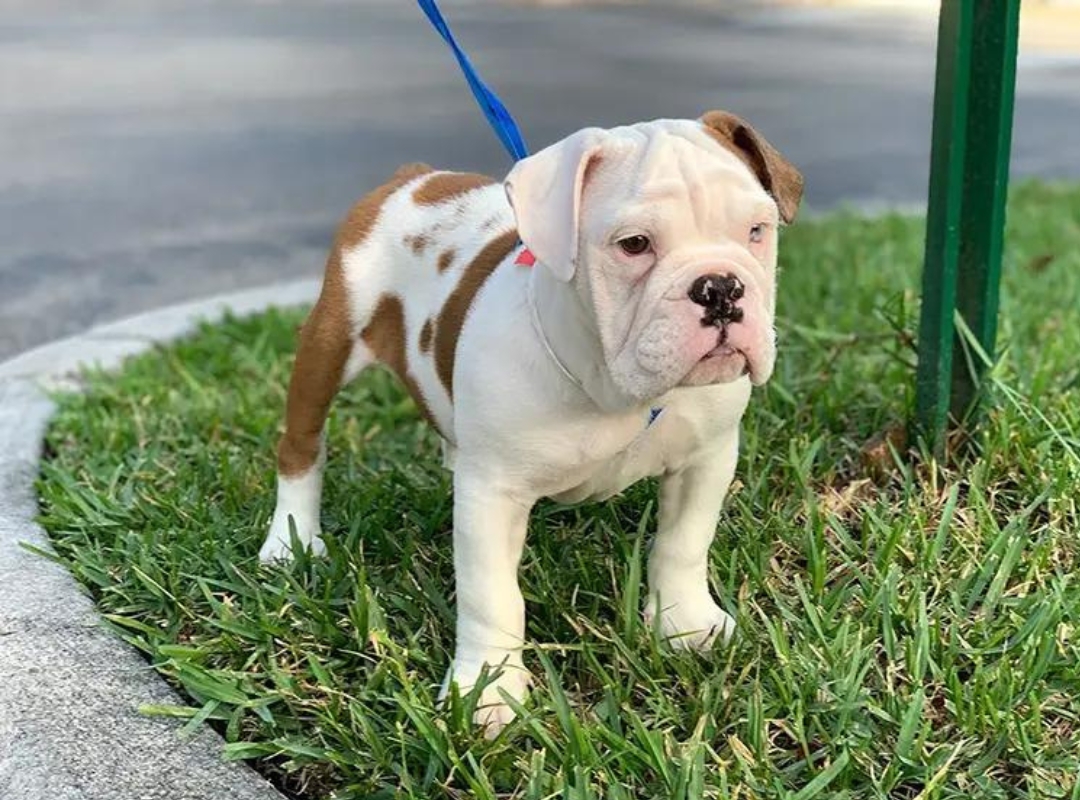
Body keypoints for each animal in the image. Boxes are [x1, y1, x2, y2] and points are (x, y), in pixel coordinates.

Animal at [259, 110, 803, 729]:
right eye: (634, 245)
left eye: (757, 230)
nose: (720, 287)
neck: (611, 385)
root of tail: (414, 178)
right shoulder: (493, 494)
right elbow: (492, 595)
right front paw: (488, 690)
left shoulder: (706, 457)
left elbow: (683, 543)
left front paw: (685, 624)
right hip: (330, 339)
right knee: (301, 446)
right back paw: (290, 541)